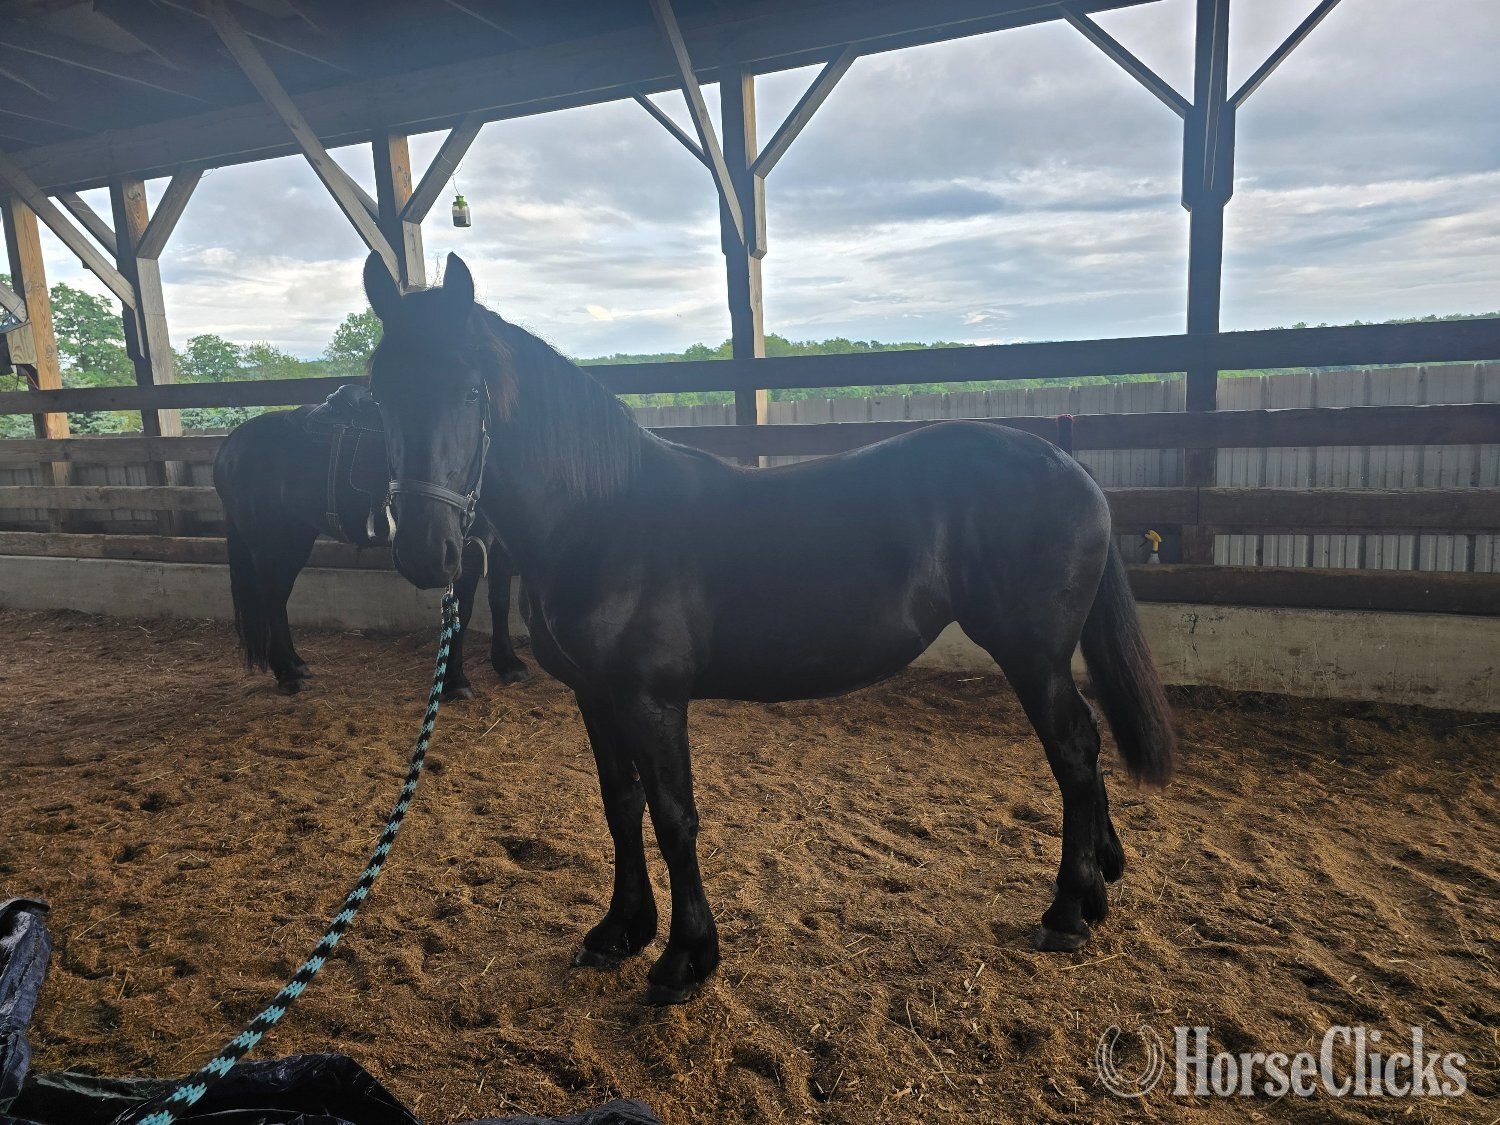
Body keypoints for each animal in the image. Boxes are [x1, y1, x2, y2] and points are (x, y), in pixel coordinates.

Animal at [212, 388, 529, 698]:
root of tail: (230, 446)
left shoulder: (498, 545)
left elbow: (498, 600)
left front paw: (508, 664)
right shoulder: (465, 547)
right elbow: (463, 608)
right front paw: (455, 680)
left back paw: (295, 665)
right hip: (273, 545)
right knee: (273, 599)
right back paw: (287, 674)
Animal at [361, 251, 1176, 1004]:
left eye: (471, 388)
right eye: (378, 390)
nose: (425, 550)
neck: (601, 516)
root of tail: (1069, 464)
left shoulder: (651, 700)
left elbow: (673, 816)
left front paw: (685, 958)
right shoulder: (595, 696)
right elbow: (621, 806)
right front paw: (619, 930)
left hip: (1032, 656)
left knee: (1075, 753)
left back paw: (1067, 911)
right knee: (1084, 753)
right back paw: (1098, 885)